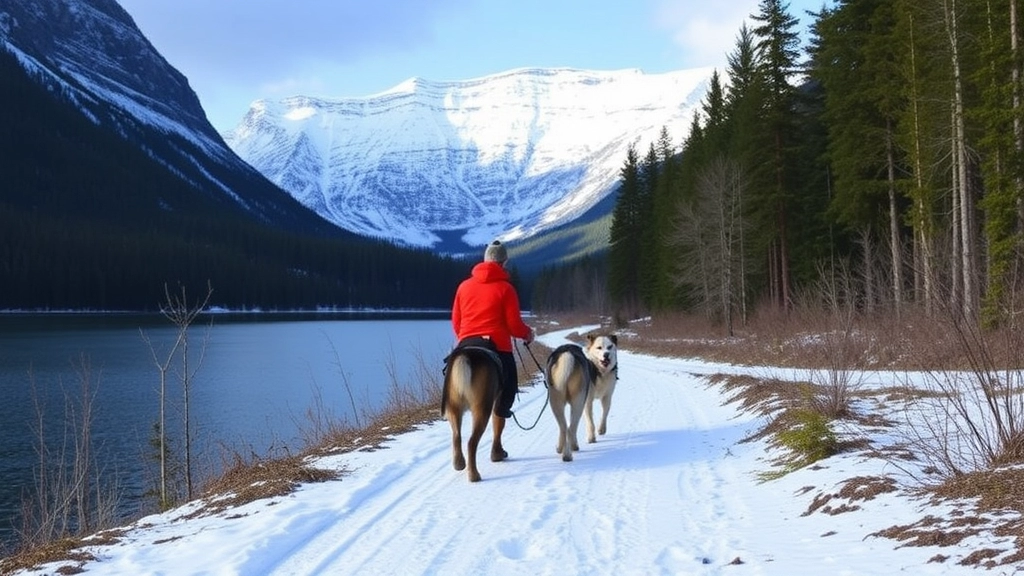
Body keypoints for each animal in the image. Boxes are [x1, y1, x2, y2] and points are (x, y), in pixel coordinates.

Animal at [442, 340, 501, 479]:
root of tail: (464, 357)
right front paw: (498, 454)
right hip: (482, 408)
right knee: (471, 442)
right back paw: (474, 475)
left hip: (453, 407)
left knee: (456, 436)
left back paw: (459, 463)